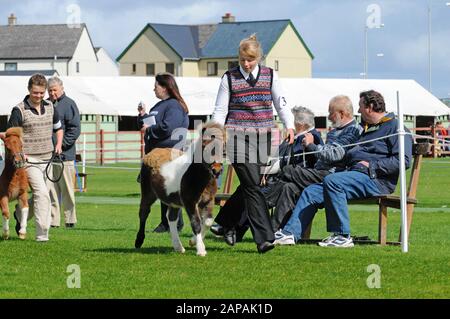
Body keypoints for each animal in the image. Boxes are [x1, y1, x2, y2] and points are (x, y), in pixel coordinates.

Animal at [134, 122, 224, 258]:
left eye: (223, 147)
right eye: (204, 146)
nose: (217, 170)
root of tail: (152, 152)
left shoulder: (208, 201)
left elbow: (208, 222)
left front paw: (193, 242)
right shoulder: (190, 202)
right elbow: (196, 223)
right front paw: (201, 250)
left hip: (174, 201)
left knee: (171, 218)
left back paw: (178, 247)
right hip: (148, 194)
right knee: (143, 213)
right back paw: (139, 241)